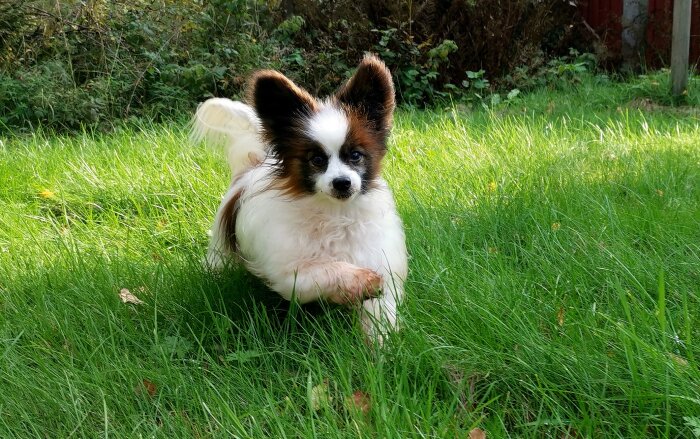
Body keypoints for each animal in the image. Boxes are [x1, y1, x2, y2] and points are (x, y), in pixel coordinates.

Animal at [193, 55, 410, 342]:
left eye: (355, 155)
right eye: (316, 160)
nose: (342, 183)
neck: (335, 213)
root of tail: (253, 164)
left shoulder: (377, 256)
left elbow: (380, 309)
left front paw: (380, 342)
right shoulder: (290, 274)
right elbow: (326, 270)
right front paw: (360, 281)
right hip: (221, 245)